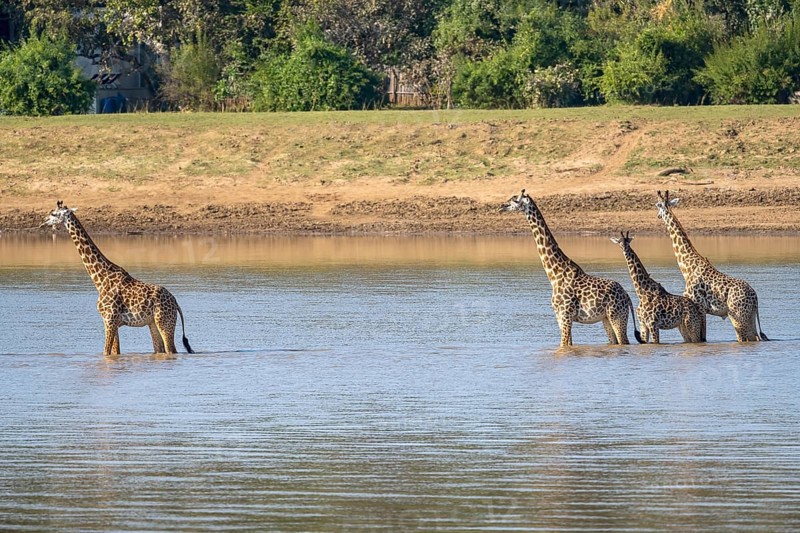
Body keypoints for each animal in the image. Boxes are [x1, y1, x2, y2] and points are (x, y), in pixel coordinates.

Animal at [41, 201, 194, 355]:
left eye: (54, 214)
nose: (43, 222)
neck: (100, 280)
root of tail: (175, 302)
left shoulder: (110, 320)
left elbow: (106, 352)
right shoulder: (111, 322)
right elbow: (115, 352)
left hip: (164, 322)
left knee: (171, 350)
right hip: (153, 323)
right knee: (159, 350)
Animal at [500, 189, 643, 347]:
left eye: (515, 200)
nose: (501, 206)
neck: (554, 274)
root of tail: (627, 296)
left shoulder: (566, 315)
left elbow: (563, 345)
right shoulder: (559, 317)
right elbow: (568, 344)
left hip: (617, 316)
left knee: (624, 341)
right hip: (606, 318)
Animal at [655, 190, 768, 342]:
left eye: (658, 205)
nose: (658, 215)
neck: (687, 268)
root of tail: (755, 297)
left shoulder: (699, 307)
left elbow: (702, 338)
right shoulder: (702, 309)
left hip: (738, 317)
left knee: (743, 338)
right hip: (749, 316)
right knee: (755, 337)